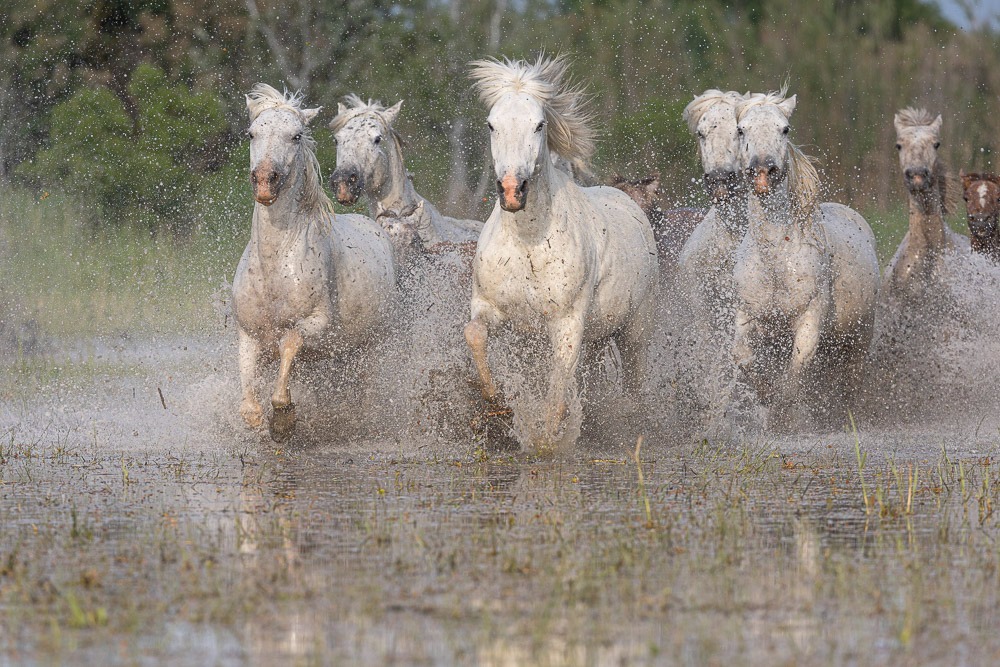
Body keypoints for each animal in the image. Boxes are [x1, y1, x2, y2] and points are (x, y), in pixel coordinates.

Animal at [232, 84, 398, 441]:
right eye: (251, 133)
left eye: (296, 136)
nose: (265, 181)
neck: (274, 265)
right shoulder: (249, 335)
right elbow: (249, 405)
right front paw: (260, 419)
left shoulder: (318, 323)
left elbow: (290, 340)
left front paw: (283, 417)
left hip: (371, 345)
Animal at [466, 54, 658, 451]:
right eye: (491, 124)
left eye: (539, 125)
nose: (512, 191)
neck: (528, 242)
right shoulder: (490, 308)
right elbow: (474, 334)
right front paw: (497, 406)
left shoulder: (567, 323)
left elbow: (557, 388)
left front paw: (547, 442)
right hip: (599, 337)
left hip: (635, 330)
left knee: (633, 378)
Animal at [731, 90, 880, 430]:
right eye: (741, 130)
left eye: (784, 129)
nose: (763, 171)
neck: (776, 259)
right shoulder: (748, 316)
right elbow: (743, 357)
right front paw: (765, 396)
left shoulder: (810, 320)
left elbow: (795, 372)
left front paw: (782, 416)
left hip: (858, 338)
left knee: (850, 381)